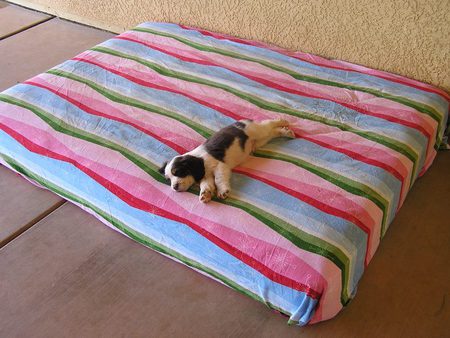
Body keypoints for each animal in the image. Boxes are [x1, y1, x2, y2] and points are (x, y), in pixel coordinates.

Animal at [158, 119, 296, 202]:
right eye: (168, 179)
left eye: (178, 172)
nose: (174, 187)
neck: (201, 160)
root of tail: (242, 122)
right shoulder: (206, 175)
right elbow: (206, 184)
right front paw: (205, 194)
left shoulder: (220, 166)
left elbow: (219, 179)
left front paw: (223, 191)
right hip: (260, 141)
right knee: (273, 133)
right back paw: (286, 131)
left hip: (257, 131)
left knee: (268, 124)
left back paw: (283, 121)